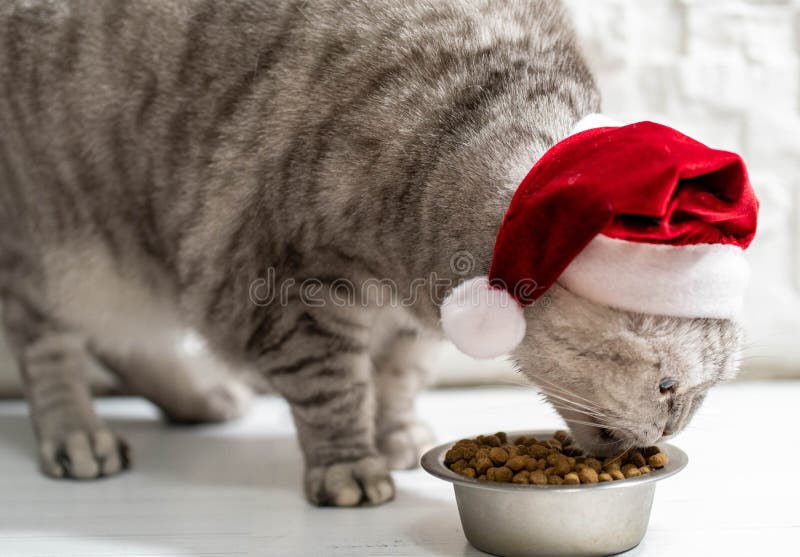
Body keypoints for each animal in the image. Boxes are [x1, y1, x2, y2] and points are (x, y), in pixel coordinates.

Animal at [0, 0, 744, 504]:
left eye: (708, 390)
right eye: (668, 387)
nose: (669, 432)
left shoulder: (423, 317)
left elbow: (398, 373)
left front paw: (397, 430)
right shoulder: (290, 289)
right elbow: (333, 385)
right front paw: (350, 462)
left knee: (120, 339)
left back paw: (199, 395)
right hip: (62, 247)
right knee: (46, 343)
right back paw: (77, 433)